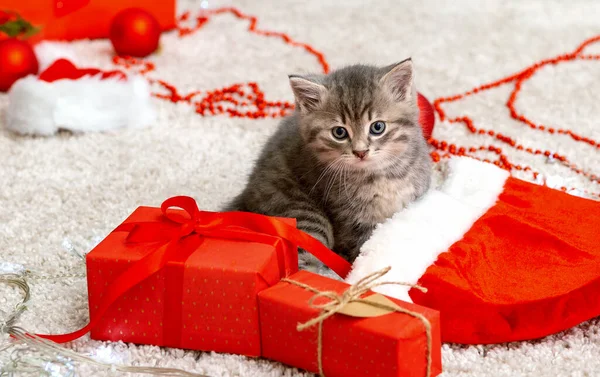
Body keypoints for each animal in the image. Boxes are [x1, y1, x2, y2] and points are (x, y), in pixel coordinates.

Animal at [225, 58, 432, 270]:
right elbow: (365, 248)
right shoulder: (351, 220)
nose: (360, 152)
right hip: (302, 214)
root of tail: (245, 197)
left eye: (377, 127)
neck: (381, 175)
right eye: (339, 132)